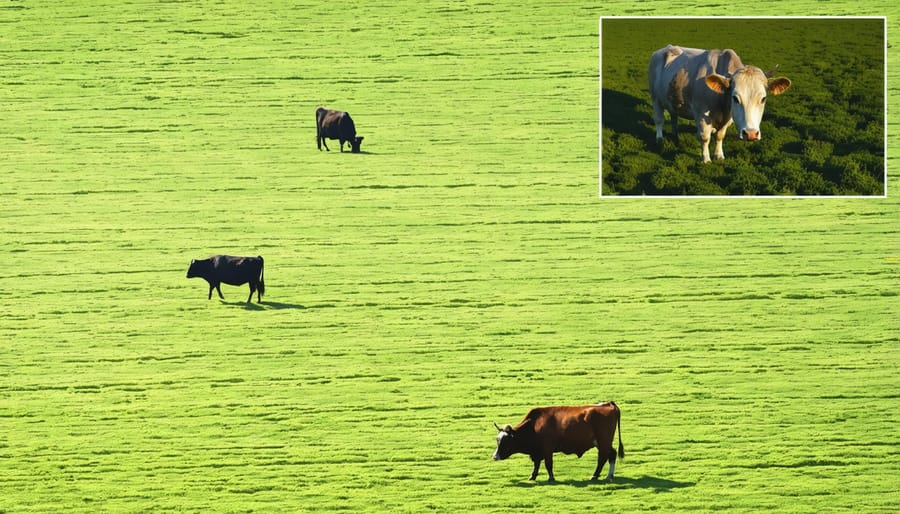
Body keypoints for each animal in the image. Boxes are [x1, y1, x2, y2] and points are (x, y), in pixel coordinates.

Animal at [492, 400, 624, 480]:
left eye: (505, 441)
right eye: (497, 440)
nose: (494, 456)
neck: (535, 425)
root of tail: (608, 404)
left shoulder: (547, 449)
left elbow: (548, 464)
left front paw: (551, 478)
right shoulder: (537, 451)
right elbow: (536, 464)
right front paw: (533, 476)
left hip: (603, 441)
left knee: (602, 458)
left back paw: (595, 476)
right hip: (603, 443)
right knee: (612, 454)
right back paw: (609, 476)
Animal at [652, 46, 792, 163]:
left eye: (763, 99)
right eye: (735, 98)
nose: (751, 134)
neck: (722, 102)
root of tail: (665, 48)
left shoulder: (728, 117)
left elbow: (720, 136)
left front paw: (719, 155)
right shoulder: (701, 114)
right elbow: (705, 137)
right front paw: (706, 159)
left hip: (672, 100)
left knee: (673, 116)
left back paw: (675, 135)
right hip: (655, 99)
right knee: (659, 120)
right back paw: (659, 140)